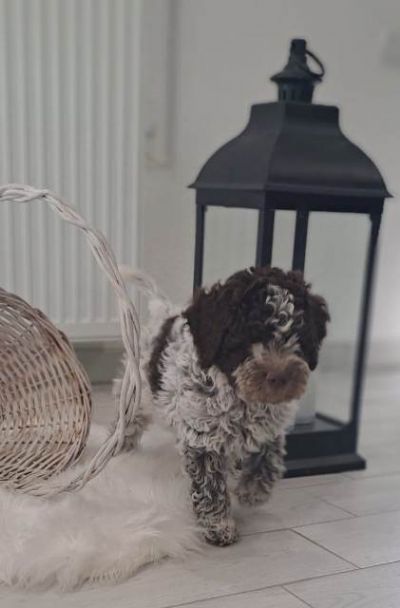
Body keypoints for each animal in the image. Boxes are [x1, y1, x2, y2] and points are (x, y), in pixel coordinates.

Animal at [115, 266, 328, 548]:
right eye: (248, 337)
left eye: (297, 337)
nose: (280, 377)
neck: (243, 397)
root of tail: (164, 312)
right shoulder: (203, 436)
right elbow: (210, 486)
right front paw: (219, 526)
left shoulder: (269, 428)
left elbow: (268, 458)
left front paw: (252, 492)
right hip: (136, 395)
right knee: (129, 422)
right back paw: (122, 448)